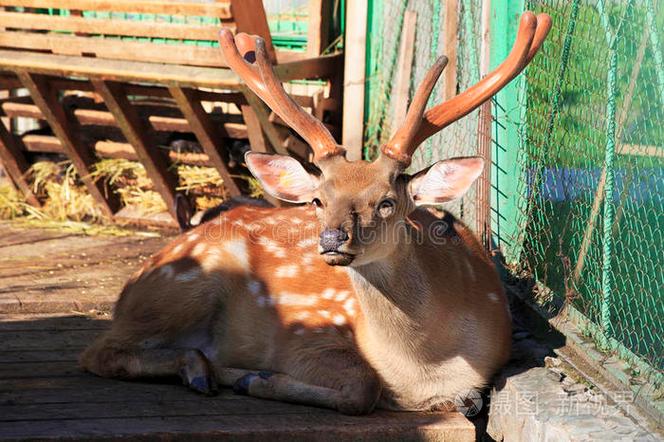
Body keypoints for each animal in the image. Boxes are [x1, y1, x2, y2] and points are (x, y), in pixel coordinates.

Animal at [80, 12, 551, 415]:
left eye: (387, 202)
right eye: (318, 200)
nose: (331, 239)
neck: (425, 371)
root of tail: (128, 289)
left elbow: (466, 400)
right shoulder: (308, 333)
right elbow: (364, 387)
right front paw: (256, 378)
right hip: (186, 281)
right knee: (99, 352)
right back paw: (203, 370)